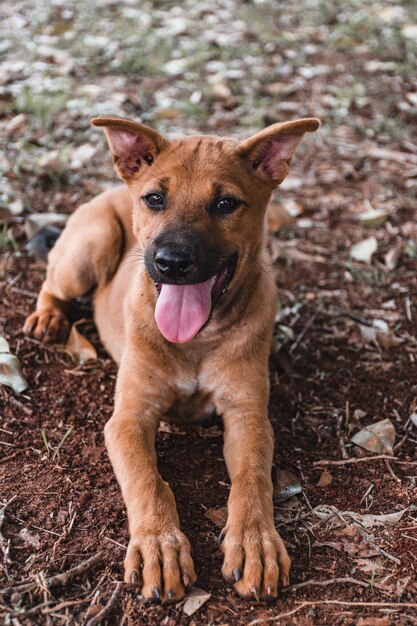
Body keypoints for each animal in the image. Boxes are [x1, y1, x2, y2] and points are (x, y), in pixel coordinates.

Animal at [23, 116, 318, 600]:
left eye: (225, 203)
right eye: (155, 199)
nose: (172, 262)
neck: (196, 340)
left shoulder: (248, 416)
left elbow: (252, 478)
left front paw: (255, 541)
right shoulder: (128, 418)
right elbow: (147, 480)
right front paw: (158, 544)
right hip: (90, 248)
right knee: (51, 282)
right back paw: (47, 317)